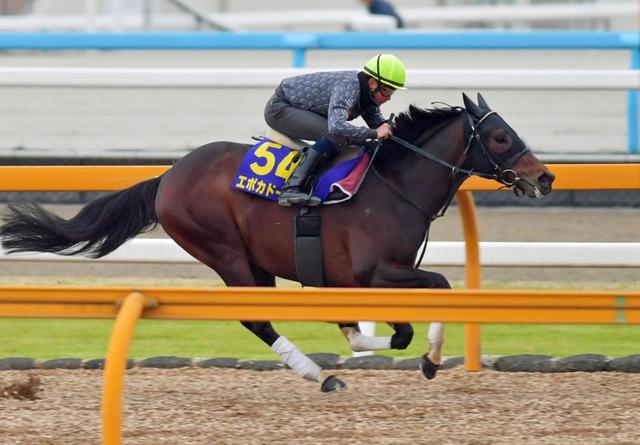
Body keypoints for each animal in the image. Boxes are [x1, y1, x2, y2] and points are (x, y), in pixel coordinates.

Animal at [0, 92, 552, 390]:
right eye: (499, 137)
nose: (544, 177)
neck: (394, 185)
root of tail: (168, 176)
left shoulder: (359, 278)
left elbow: (397, 323)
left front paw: (391, 348)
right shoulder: (376, 272)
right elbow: (436, 292)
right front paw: (429, 360)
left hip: (256, 260)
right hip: (225, 253)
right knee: (256, 318)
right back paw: (321, 375)